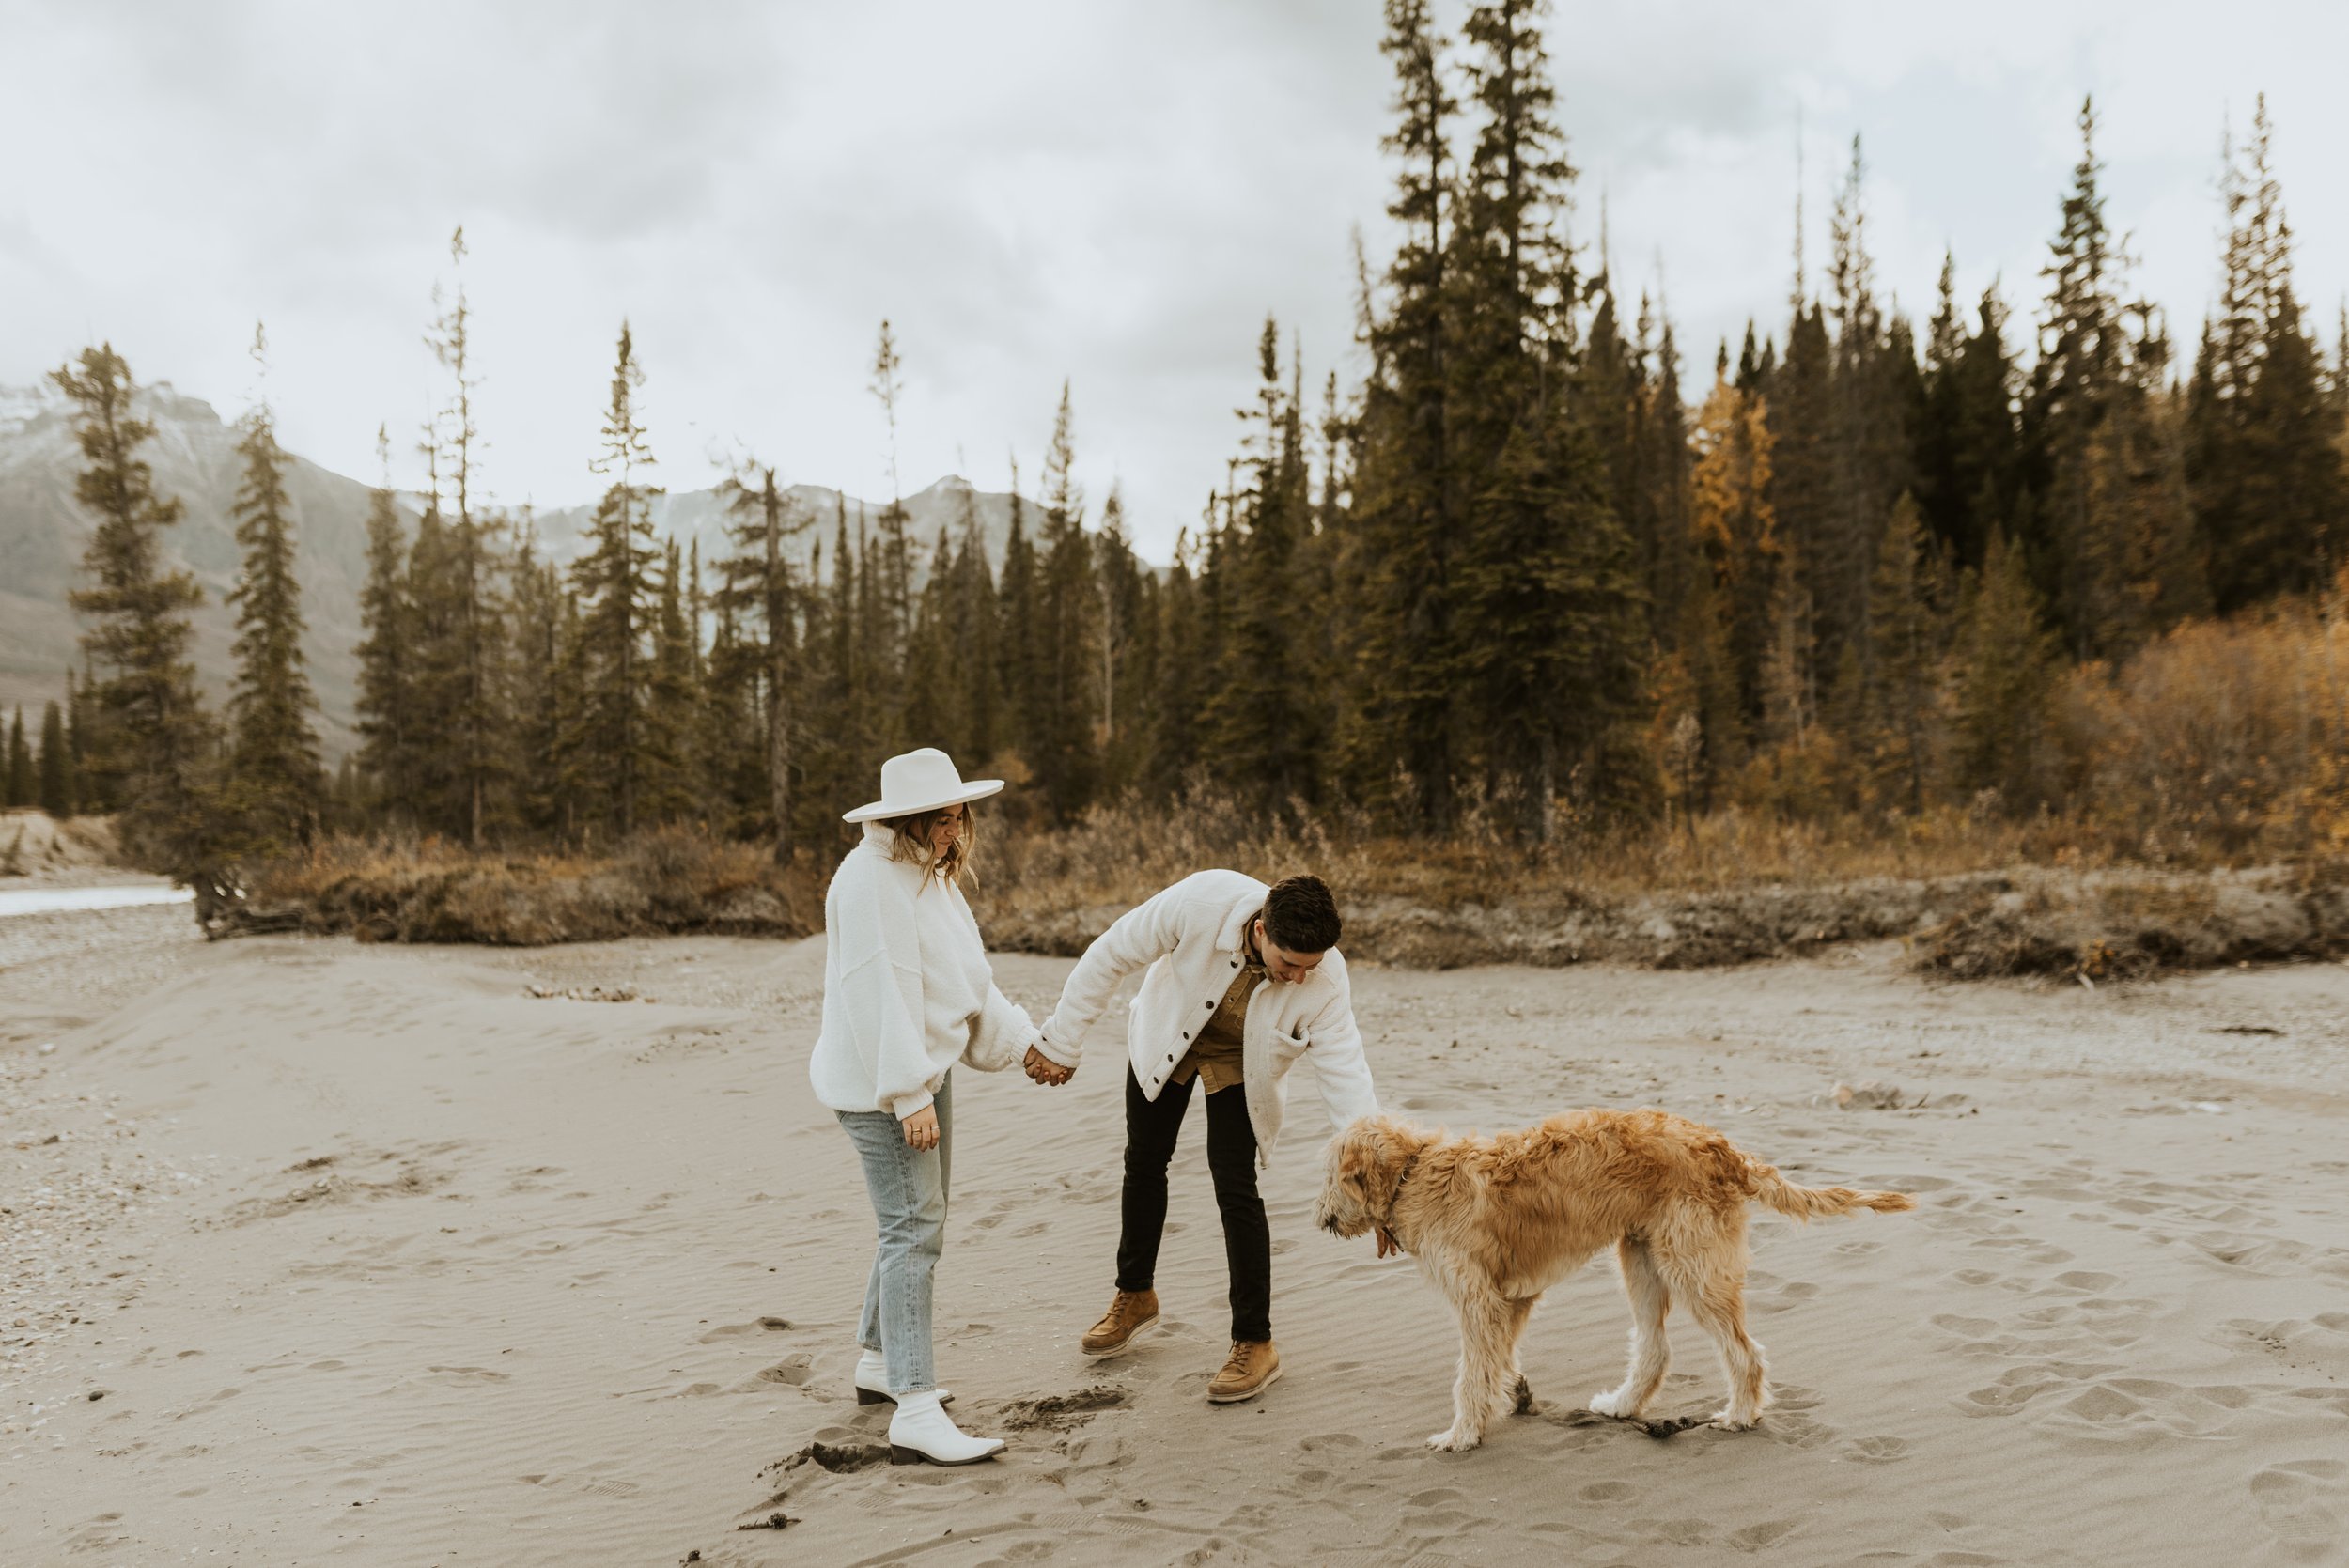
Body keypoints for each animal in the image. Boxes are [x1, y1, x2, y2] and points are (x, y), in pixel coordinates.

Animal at [1315, 1108, 1917, 1455]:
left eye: (1329, 1176)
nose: (1320, 1220)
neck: (1413, 1172)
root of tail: (1724, 1149)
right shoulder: (1512, 1297)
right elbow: (1496, 1362)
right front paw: (1507, 1401)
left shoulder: (1478, 1300)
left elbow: (1470, 1373)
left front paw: (1461, 1435)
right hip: (1641, 1258)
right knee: (1655, 1349)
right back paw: (1624, 1406)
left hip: (1692, 1266)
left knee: (1744, 1352)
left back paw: (1739, 1416)